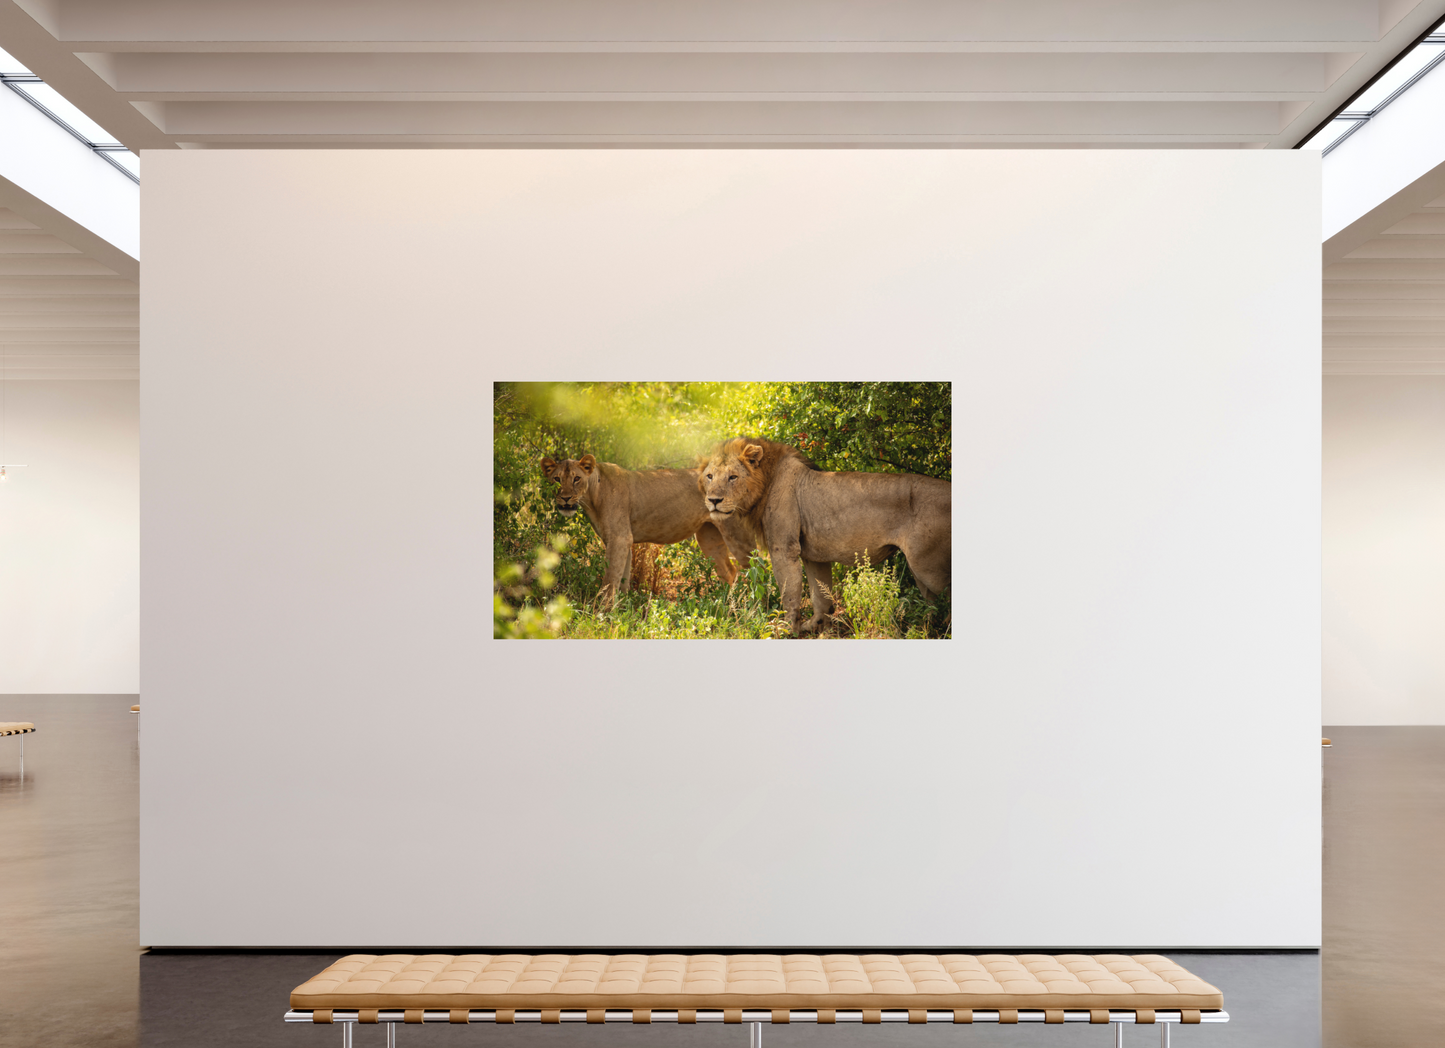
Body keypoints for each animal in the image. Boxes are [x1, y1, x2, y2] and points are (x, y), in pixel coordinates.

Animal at [541, 454, 738, 605]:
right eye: (557, 479)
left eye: (576, 478)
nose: (565, 499)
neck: (592, 496)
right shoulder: (622, 540)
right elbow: (622, 580)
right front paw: (621, 609)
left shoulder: (619, 538)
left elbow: (609, 580)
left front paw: (601, 612)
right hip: (708, 537)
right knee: (730, 572)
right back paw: (724, 604)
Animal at [697, 437, 950, 636]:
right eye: (709, 476)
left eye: (732, 477)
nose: (713, 500)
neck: (766, 481)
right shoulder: (814, 555)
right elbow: (821, 596)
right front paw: (817, 627)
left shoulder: (784, 548)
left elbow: (789, 593)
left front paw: (786, 629)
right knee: (931, 605)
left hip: (927, 566)